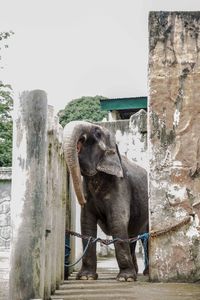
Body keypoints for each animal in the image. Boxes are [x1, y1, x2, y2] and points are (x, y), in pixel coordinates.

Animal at [63, 119, 148, 282]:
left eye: (97, 133)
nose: (82, 200)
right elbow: (86, 223)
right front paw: (86, 277)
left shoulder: (120, 186)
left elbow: (117, 221)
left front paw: (125, 279)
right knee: (132, 237)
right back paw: (136, 271)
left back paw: (144, 273)